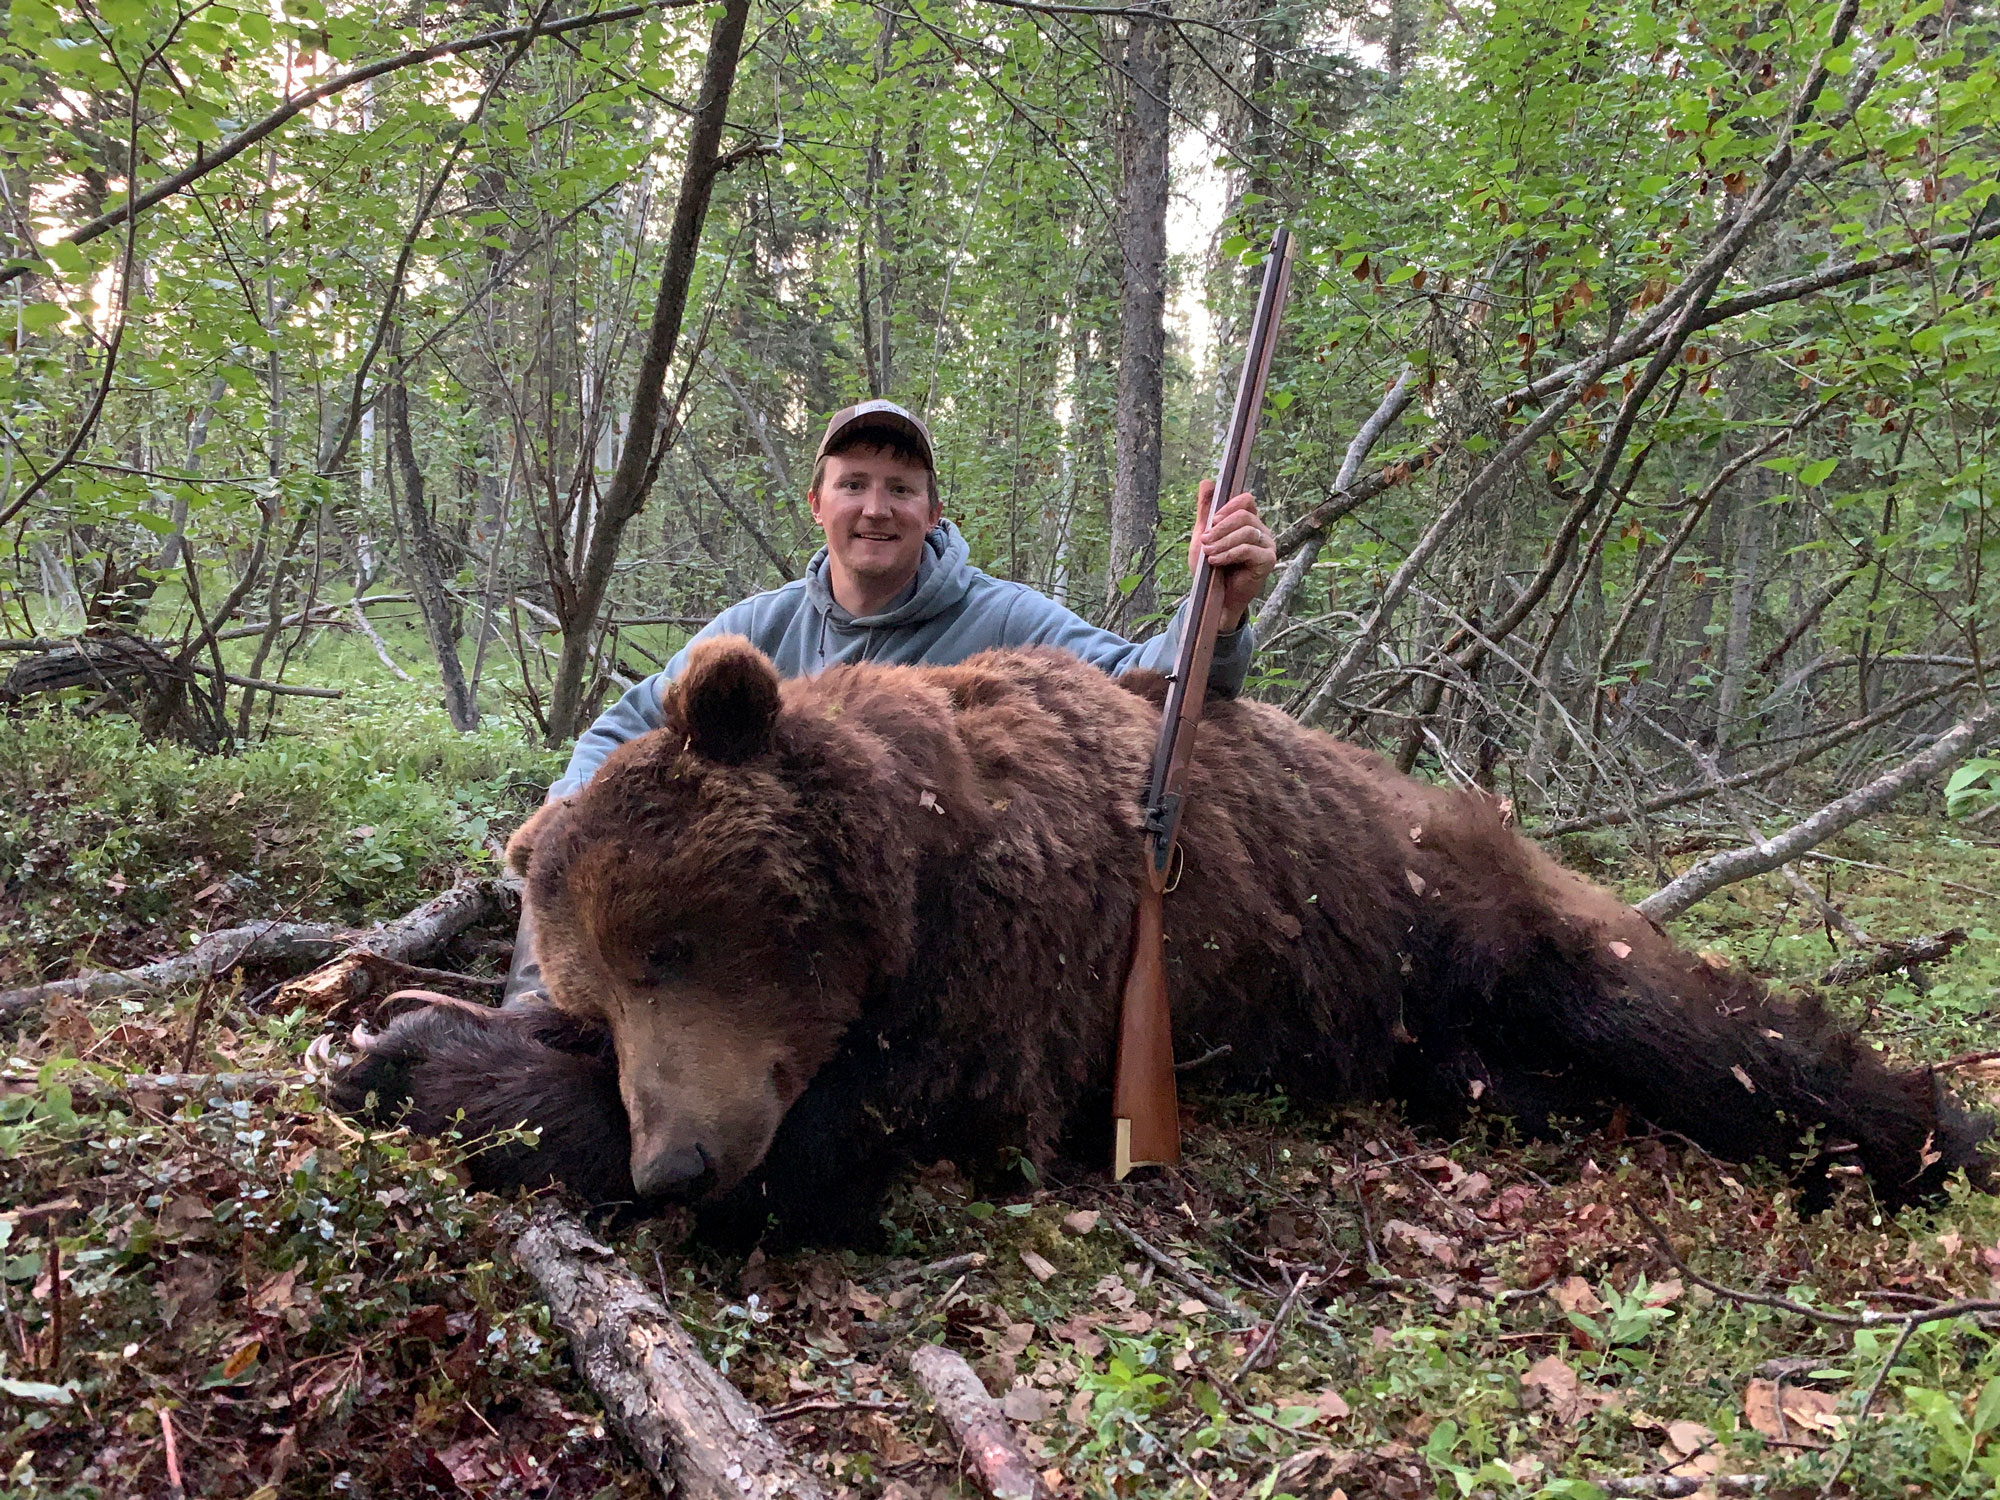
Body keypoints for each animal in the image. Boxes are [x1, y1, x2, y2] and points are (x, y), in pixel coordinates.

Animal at [332, 636, 1984, 1248]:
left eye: (672, 948)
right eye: (599, 997)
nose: (681, 1157)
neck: (926, 850)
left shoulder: (1017, 966)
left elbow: (862, 1126)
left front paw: (425, 1064)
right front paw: (391, 1037)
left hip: (1468, 910)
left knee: (1694, 1025)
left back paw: (1931, 1136)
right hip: (1415, 1030)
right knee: (1498, 1077)